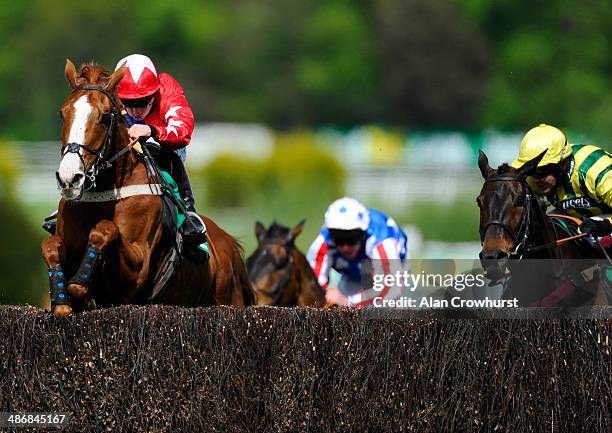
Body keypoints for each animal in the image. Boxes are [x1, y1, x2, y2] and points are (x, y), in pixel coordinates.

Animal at [40, 60, 255, 318]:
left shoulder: (136, 271)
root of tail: (227, 242)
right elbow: (49, 246)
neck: (104, 194)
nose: (70, 178)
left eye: (105, 117)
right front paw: (62, 301)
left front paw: (82, 289)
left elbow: (105, 229)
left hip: (230, 297)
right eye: (63, 114)